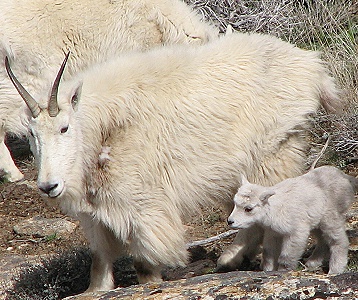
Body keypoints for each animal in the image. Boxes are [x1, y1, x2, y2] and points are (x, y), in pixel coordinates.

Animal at [4, 31, 342, 292]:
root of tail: (312, 66)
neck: (102, 129)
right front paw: (94, 290)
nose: (48, 186)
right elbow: (100, 257)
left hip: (272, 153)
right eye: (32, 133)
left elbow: (143, 260)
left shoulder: (142, 203)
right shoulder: (96, 210)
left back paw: (230, 257)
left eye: (64, 128)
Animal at [228, 166, 356, 274]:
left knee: (339, 240)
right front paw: (268, 270)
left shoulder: (296, 232)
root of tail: (346, 178)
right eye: (235, 203)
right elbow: (268, 253)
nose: (230, 221)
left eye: (248, 209)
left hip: (329, 218)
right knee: (322, 240)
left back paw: (335, 269)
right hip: (316, 222)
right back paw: (312, 263)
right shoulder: (273, 233)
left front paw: (283, 270)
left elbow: (287, 256)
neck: (274, 209)